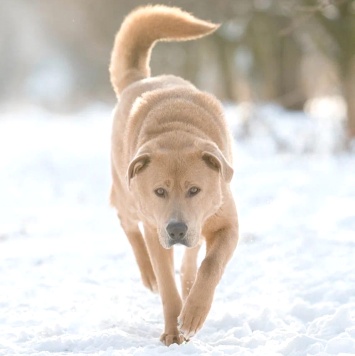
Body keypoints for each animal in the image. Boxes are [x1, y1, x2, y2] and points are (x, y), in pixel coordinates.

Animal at [109, 4, 239, 344]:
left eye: (195, 190)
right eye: (160, 191)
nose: (177, 229)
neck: (177, 132)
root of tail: (138, 79)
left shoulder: (226, 223)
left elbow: (211, 264)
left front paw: (193, 313)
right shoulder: (156, 229)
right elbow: (167, 286)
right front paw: (173, 331)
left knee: (193, 258)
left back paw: (189, 284)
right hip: (128, 194)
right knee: (125, 220)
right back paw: (148, 273)